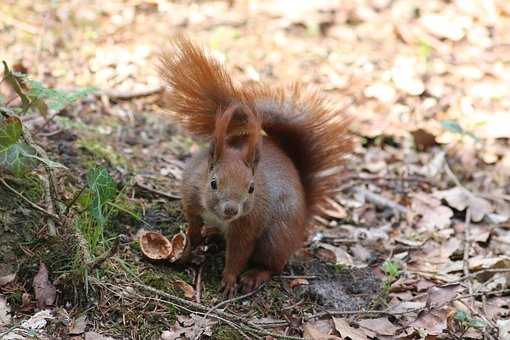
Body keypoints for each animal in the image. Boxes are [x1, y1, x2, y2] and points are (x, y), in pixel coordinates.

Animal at [158, 37, 350, 298]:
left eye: (252, 188)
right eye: (213, 183)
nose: (231, 210)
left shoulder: (247, 226)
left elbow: (238, 255)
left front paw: (229, 280)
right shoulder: (192, 195)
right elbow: (193, 224)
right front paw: (190, 243)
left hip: (275, 238)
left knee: (274, 265)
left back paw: (254, 275)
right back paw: (212, 233)